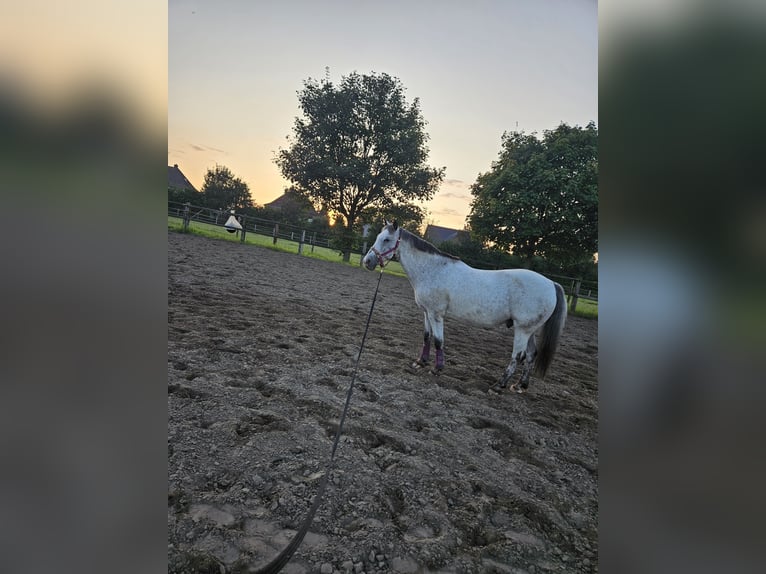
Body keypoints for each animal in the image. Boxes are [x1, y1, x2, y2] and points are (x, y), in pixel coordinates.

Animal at [364, 219, 568, 392]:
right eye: (378, 237)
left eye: (387, 239)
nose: (367, 261)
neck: (433, 270)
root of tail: (551, 283)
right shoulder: (426, 312)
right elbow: (426, 337)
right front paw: (420, 362)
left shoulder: (436, 314)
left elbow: (438, 341)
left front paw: (436, 369)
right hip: (530, 330)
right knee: (531, 355)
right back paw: (520, 385)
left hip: (523, 330)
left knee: (517, 356)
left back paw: (498, 386)